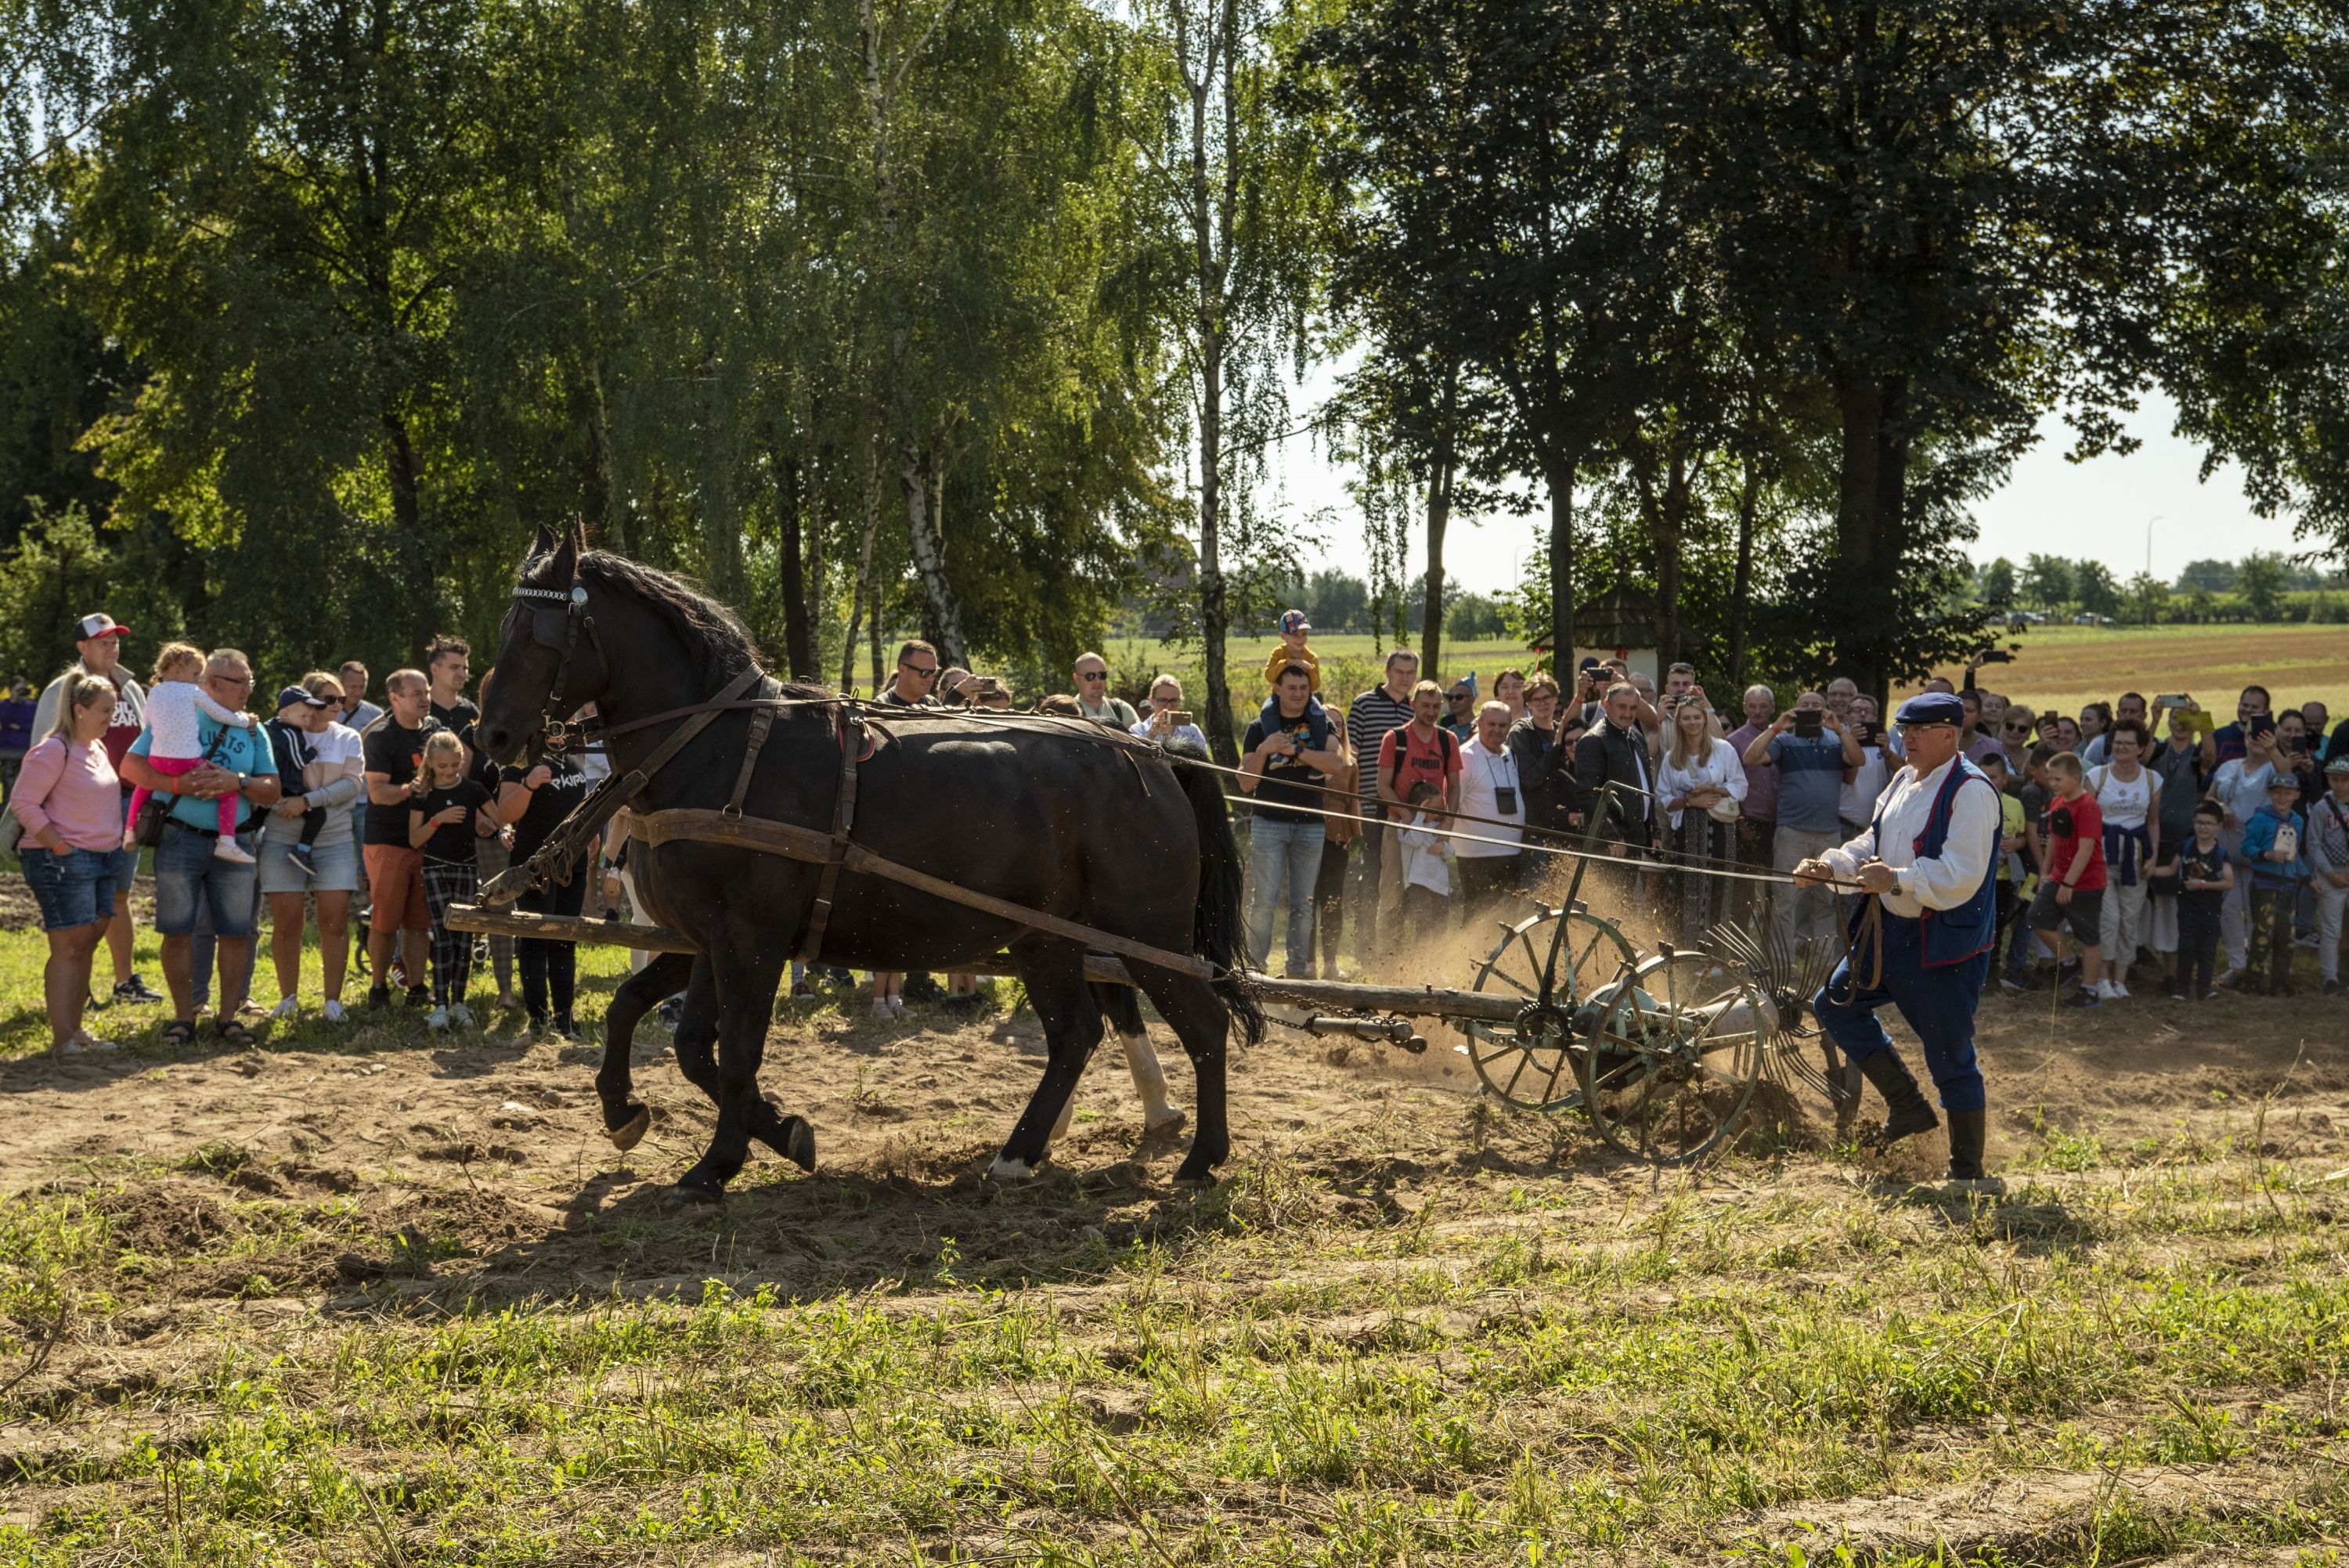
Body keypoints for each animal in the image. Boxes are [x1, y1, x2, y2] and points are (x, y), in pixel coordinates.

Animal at [465, 521, 1259, 1192]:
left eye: (537, 632)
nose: (492, 736)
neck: (718, 750)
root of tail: (1157, 754)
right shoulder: (706, 938)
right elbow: (660, 1022)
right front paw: (649, 1114)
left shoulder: (750, 938)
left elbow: (733, 1051)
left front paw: (721, 1161)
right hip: (1048, 939)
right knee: (1075, 1035)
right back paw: (1019, 1153)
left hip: (1146, 933)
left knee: (1201, 1025)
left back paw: (1200, 1157)